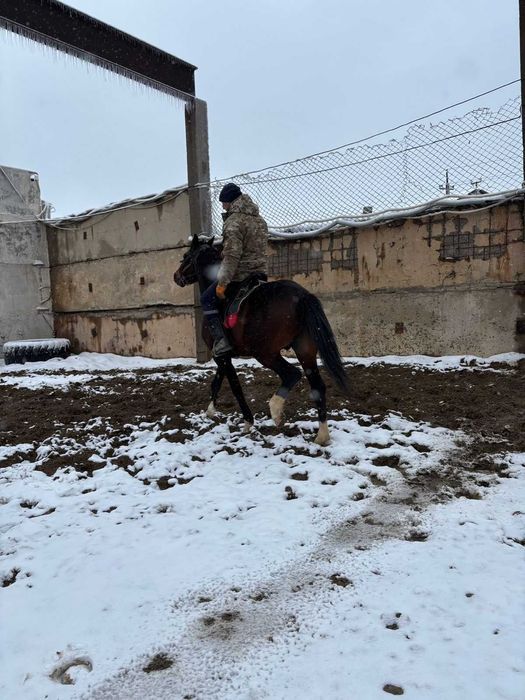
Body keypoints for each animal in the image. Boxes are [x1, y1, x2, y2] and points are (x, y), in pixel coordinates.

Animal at [174, 234, 349, 445]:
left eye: (186, 256)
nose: (176, 276)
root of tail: (302, 296)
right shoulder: (223, 356)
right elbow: (217, 381)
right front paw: (210, 410)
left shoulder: (222, 356)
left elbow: (235, 387)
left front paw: (247, 422)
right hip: (305, 351)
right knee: (317, 386)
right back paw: (321, 436)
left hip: (265, 353)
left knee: (292, 374)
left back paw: (276, 411)